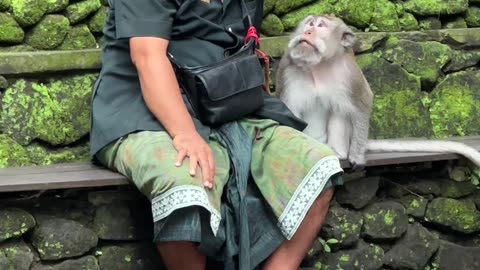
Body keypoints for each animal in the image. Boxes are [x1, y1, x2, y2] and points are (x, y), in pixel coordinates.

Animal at [274, 14, 480, 169]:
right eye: (310, 23)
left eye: (320, 25)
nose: (307, 31)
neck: (318, 64)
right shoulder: (286, 67)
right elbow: (288, 111)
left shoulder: (349, 73)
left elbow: (363, 103)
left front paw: (357, 156)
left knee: (340, 111)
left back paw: (339, 152)